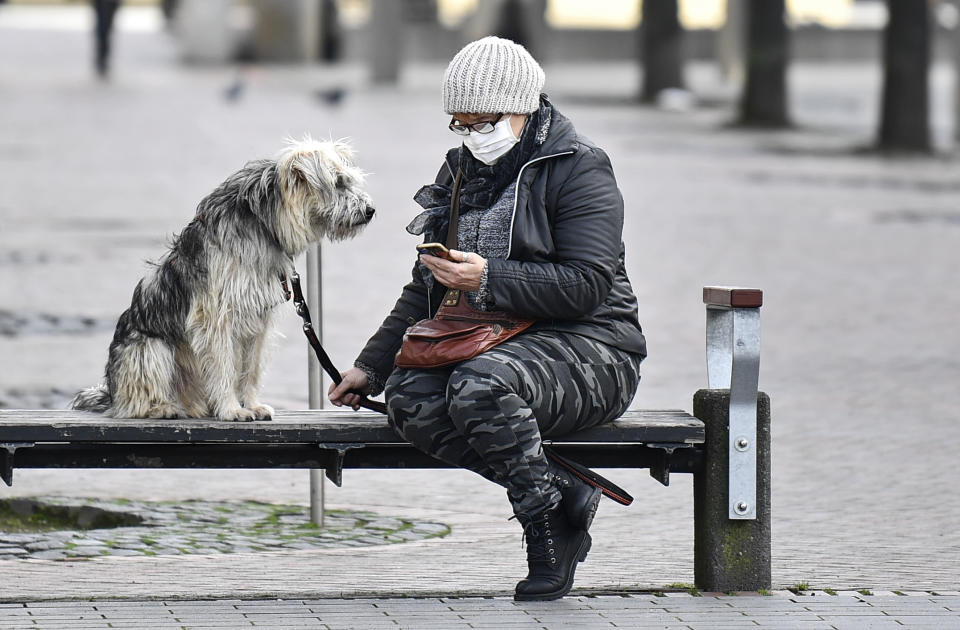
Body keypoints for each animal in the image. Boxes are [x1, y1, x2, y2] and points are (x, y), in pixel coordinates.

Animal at [72, 141, 376, 422]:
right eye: (338, 183)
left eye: (349, 180)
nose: (370, 210)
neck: (264, 224)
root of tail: (112, 393)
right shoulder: (216, 315)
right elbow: (223, 366)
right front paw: (232, 410)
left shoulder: (259, 318)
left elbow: (250, 368)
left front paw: (251, 405)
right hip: (149, 350)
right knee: (135, 402)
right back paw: (163, 408)